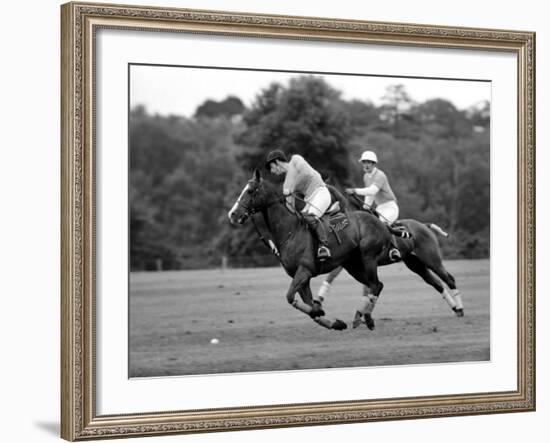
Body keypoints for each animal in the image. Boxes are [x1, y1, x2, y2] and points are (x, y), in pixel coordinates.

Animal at [320, 191, 466, 330]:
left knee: (449, 279)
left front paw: (362, 316)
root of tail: (424, 225)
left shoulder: (364, 262)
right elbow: (365, 285)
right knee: (436, 283)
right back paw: (455, 308)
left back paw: (460, 309)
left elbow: (370, 286)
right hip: (415, 264)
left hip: (431, 259)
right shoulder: (352, 264)